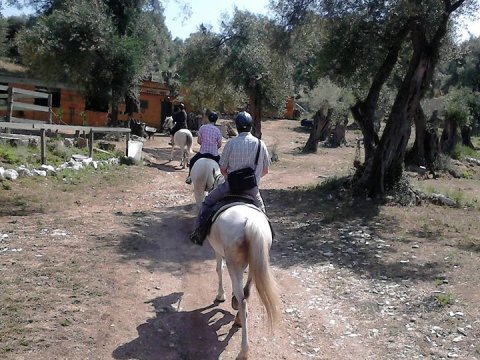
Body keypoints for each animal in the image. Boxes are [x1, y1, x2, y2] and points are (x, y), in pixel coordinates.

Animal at [207, 204, 282, 358]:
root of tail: (251, 223)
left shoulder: (217, 250)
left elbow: (219, 269)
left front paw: (220, 295)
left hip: (234, 265)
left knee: (243, 301)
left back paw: (243, 351)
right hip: (256, 261)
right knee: (246, 291)